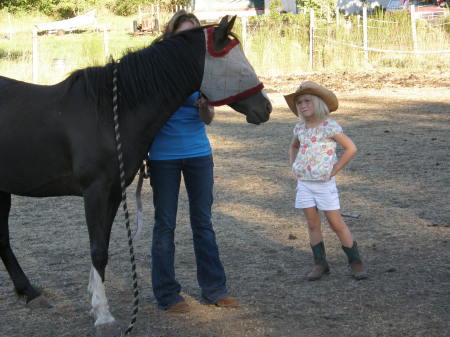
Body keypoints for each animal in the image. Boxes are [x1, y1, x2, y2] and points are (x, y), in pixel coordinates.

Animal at [0, 15, 270, 334]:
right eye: (240, 67)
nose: (265, 108)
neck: (109, 112)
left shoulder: (115, 192)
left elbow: (103, 245)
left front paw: (94, 297)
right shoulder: (95, 191)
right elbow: (97, 249)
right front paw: (102, 313)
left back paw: (30, 293)